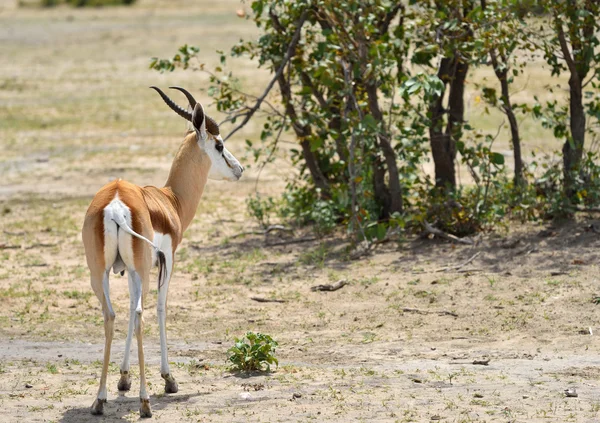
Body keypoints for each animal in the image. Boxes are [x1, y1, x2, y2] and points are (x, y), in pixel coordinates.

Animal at [82, 88, 244, 420]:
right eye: (220, 145)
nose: (239, 169)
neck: (171, 201)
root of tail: (115, 204)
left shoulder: (125, 270)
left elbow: (129, 311)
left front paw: (123, 378)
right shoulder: (167, 261)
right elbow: (160, 309)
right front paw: (169, 379)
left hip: (101, 272)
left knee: (111, 314)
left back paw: (99, 401)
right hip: (141, 269)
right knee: (140, 314)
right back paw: (145, 403)